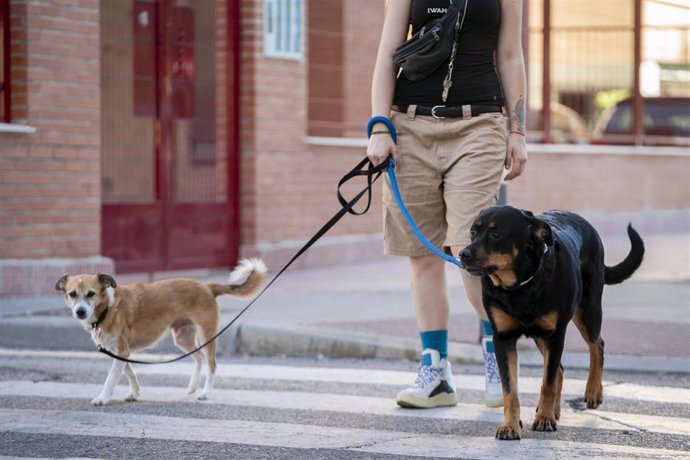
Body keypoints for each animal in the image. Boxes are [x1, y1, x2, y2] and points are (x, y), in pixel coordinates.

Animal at [55, 258, 266, 406]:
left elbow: (111, 379)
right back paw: (192, 387)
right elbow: (130, 372)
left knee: (211, 364)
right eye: (72, 294)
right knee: (198, 358)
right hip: (182, 337)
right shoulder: (120, 352)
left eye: (90, 294)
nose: (80, 311)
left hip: (206, 334)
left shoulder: (121, 351)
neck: (108, 308)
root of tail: (207, 286)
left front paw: (102, 398)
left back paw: (205, 393)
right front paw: (134, 393)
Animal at [460, 207, 644, 440]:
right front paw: (510, 425)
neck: (520, 287)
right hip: (542, 336)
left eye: (496, 234)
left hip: (588, 311)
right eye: (473, 232)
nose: (463, 254)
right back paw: (555, 409)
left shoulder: (555, 335)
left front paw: (544, 419)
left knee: (596, 345)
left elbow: (547, 383)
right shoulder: (503, 339)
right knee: (561, 369)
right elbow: (510, 390)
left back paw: (593, 391)